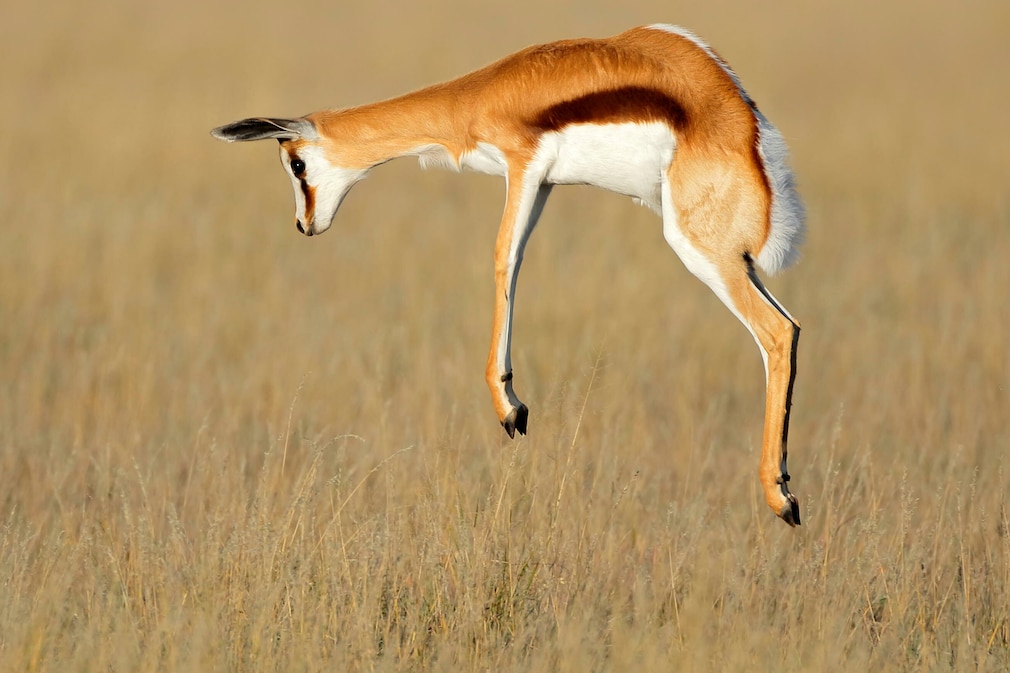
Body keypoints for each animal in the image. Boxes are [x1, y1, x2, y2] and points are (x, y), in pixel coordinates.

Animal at [211, 24, 806, 525]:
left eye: (296, 164)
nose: (303, 224)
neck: (479, 97)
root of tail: (749, 137)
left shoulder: (524, 168)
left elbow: (502, 258)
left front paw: (509, 408)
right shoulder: (542, 185)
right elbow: (515, 261)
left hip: (696, 248)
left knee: (777, 332)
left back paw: (781, 499)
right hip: (735, 261)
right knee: (791, 327)